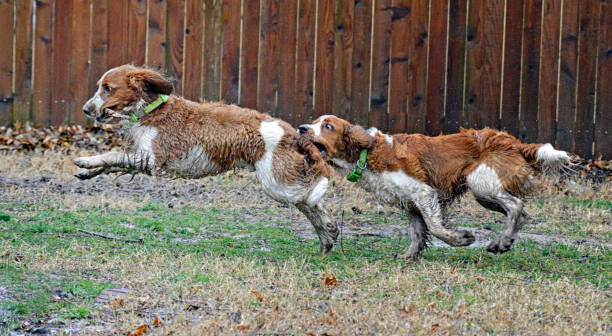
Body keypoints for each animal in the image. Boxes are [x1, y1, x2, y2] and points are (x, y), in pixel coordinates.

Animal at [73, 65, 340, 253]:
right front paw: (87, 171)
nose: (85, 109)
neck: (152, 110)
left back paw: (329, 229)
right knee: (310, 205)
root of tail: (291, 132)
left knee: (313, 197)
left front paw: (86, 161)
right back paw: (327, 239)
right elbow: (110, 165)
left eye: (108, 88)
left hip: (277, 183)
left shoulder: (150, 158)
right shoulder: (140, 158)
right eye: (100, 86)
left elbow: (112, 155)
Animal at [298, 115, 572, 260]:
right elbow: (418, 233)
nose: (301, 128)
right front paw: (409, 257)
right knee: (521, 212)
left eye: (328, 126)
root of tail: (514, 142)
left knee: (516, 206)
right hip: (486, 192)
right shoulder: (410, 203)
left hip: (480, 183)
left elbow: (437, 228)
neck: (368, 153)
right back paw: (506, 241)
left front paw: (462, 239)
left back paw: (500, 242)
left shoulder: (424, 193)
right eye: (313, 122)